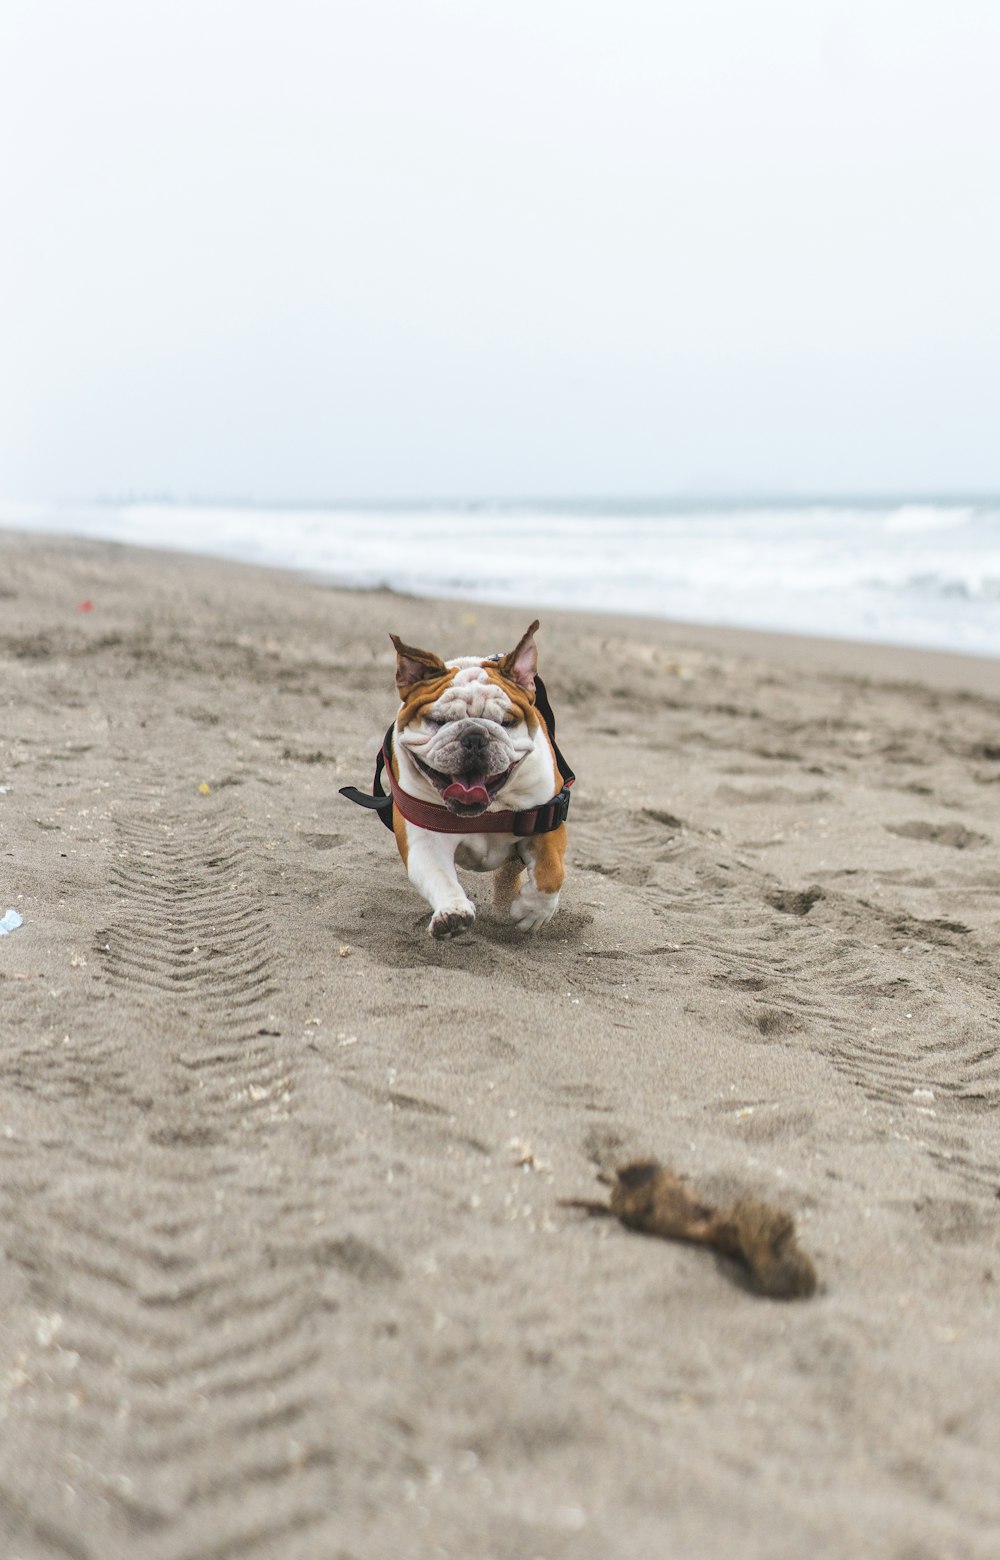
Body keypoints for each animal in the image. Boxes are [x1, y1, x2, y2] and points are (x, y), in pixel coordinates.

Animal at [341, 620, 567, 935]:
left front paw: (532, 911)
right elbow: (440, 877)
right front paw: (453, 912)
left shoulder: (547, 818)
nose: (475, 736)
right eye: (438, 721)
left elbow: (551, 871)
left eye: (507, 722)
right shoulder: (425, 842)